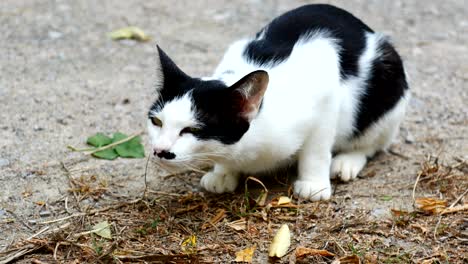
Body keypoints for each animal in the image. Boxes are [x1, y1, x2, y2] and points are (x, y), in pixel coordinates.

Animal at [147, 3, 410, 200]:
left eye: (191, 130)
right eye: (156, 122)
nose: (159, 150)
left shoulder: (326, 97)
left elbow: (316, 149)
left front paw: (314, 184)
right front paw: (223, 172)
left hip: (387, 85)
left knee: (374, 141)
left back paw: (348, 160)